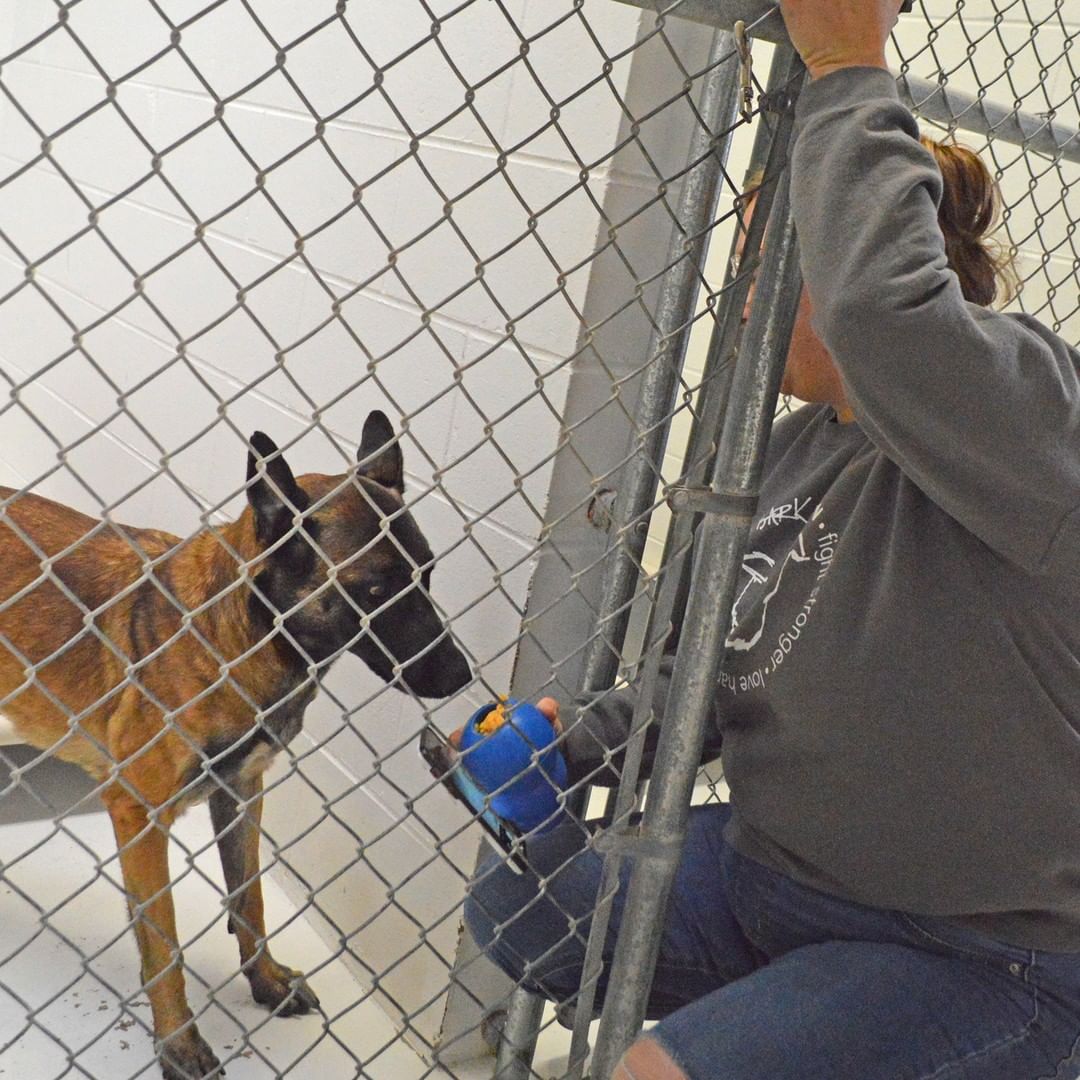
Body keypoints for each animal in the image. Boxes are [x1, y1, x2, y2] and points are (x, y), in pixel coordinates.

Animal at [0, 408, 473, 1075]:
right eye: (377, 590)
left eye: (427, 574)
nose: (461, 676)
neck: (236, 634)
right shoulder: (139, 816)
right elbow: (164, 947)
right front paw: (179, 1043)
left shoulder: (243, 792)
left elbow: (250, 899)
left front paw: (266, 983)